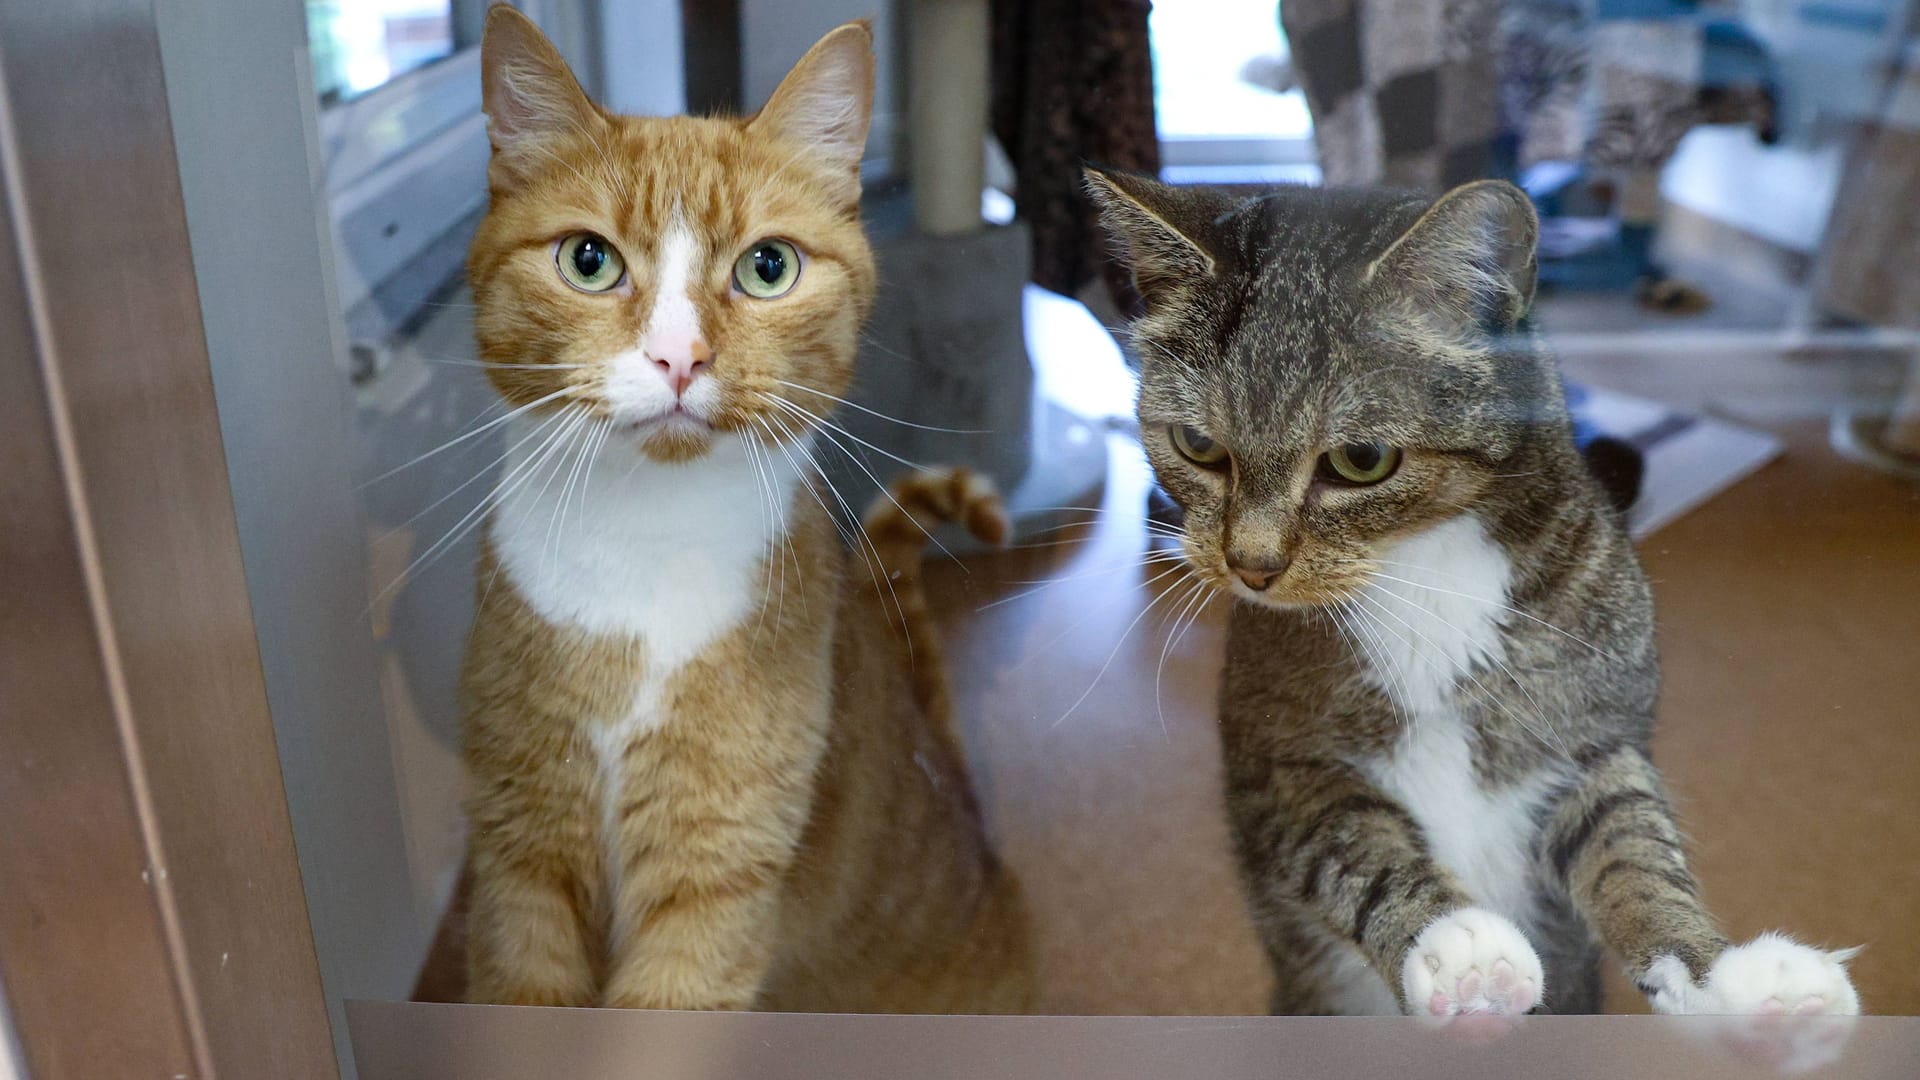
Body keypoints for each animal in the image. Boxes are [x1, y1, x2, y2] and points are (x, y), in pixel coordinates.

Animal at [456, 6, 1036, 1006]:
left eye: (768, 268)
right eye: (587, 260)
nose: (679, 359)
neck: (644, 550)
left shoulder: (717, 875)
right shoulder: (517, 854)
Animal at [1090, 170, 1850, 1014]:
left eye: (1360, 459)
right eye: (1198, 446)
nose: (1249, 565)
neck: (1422, 570)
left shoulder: (1594, 742)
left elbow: (1635, 851)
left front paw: (1720, 972)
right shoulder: (1277, 766)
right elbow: (1350, 844)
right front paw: (1452, 940)